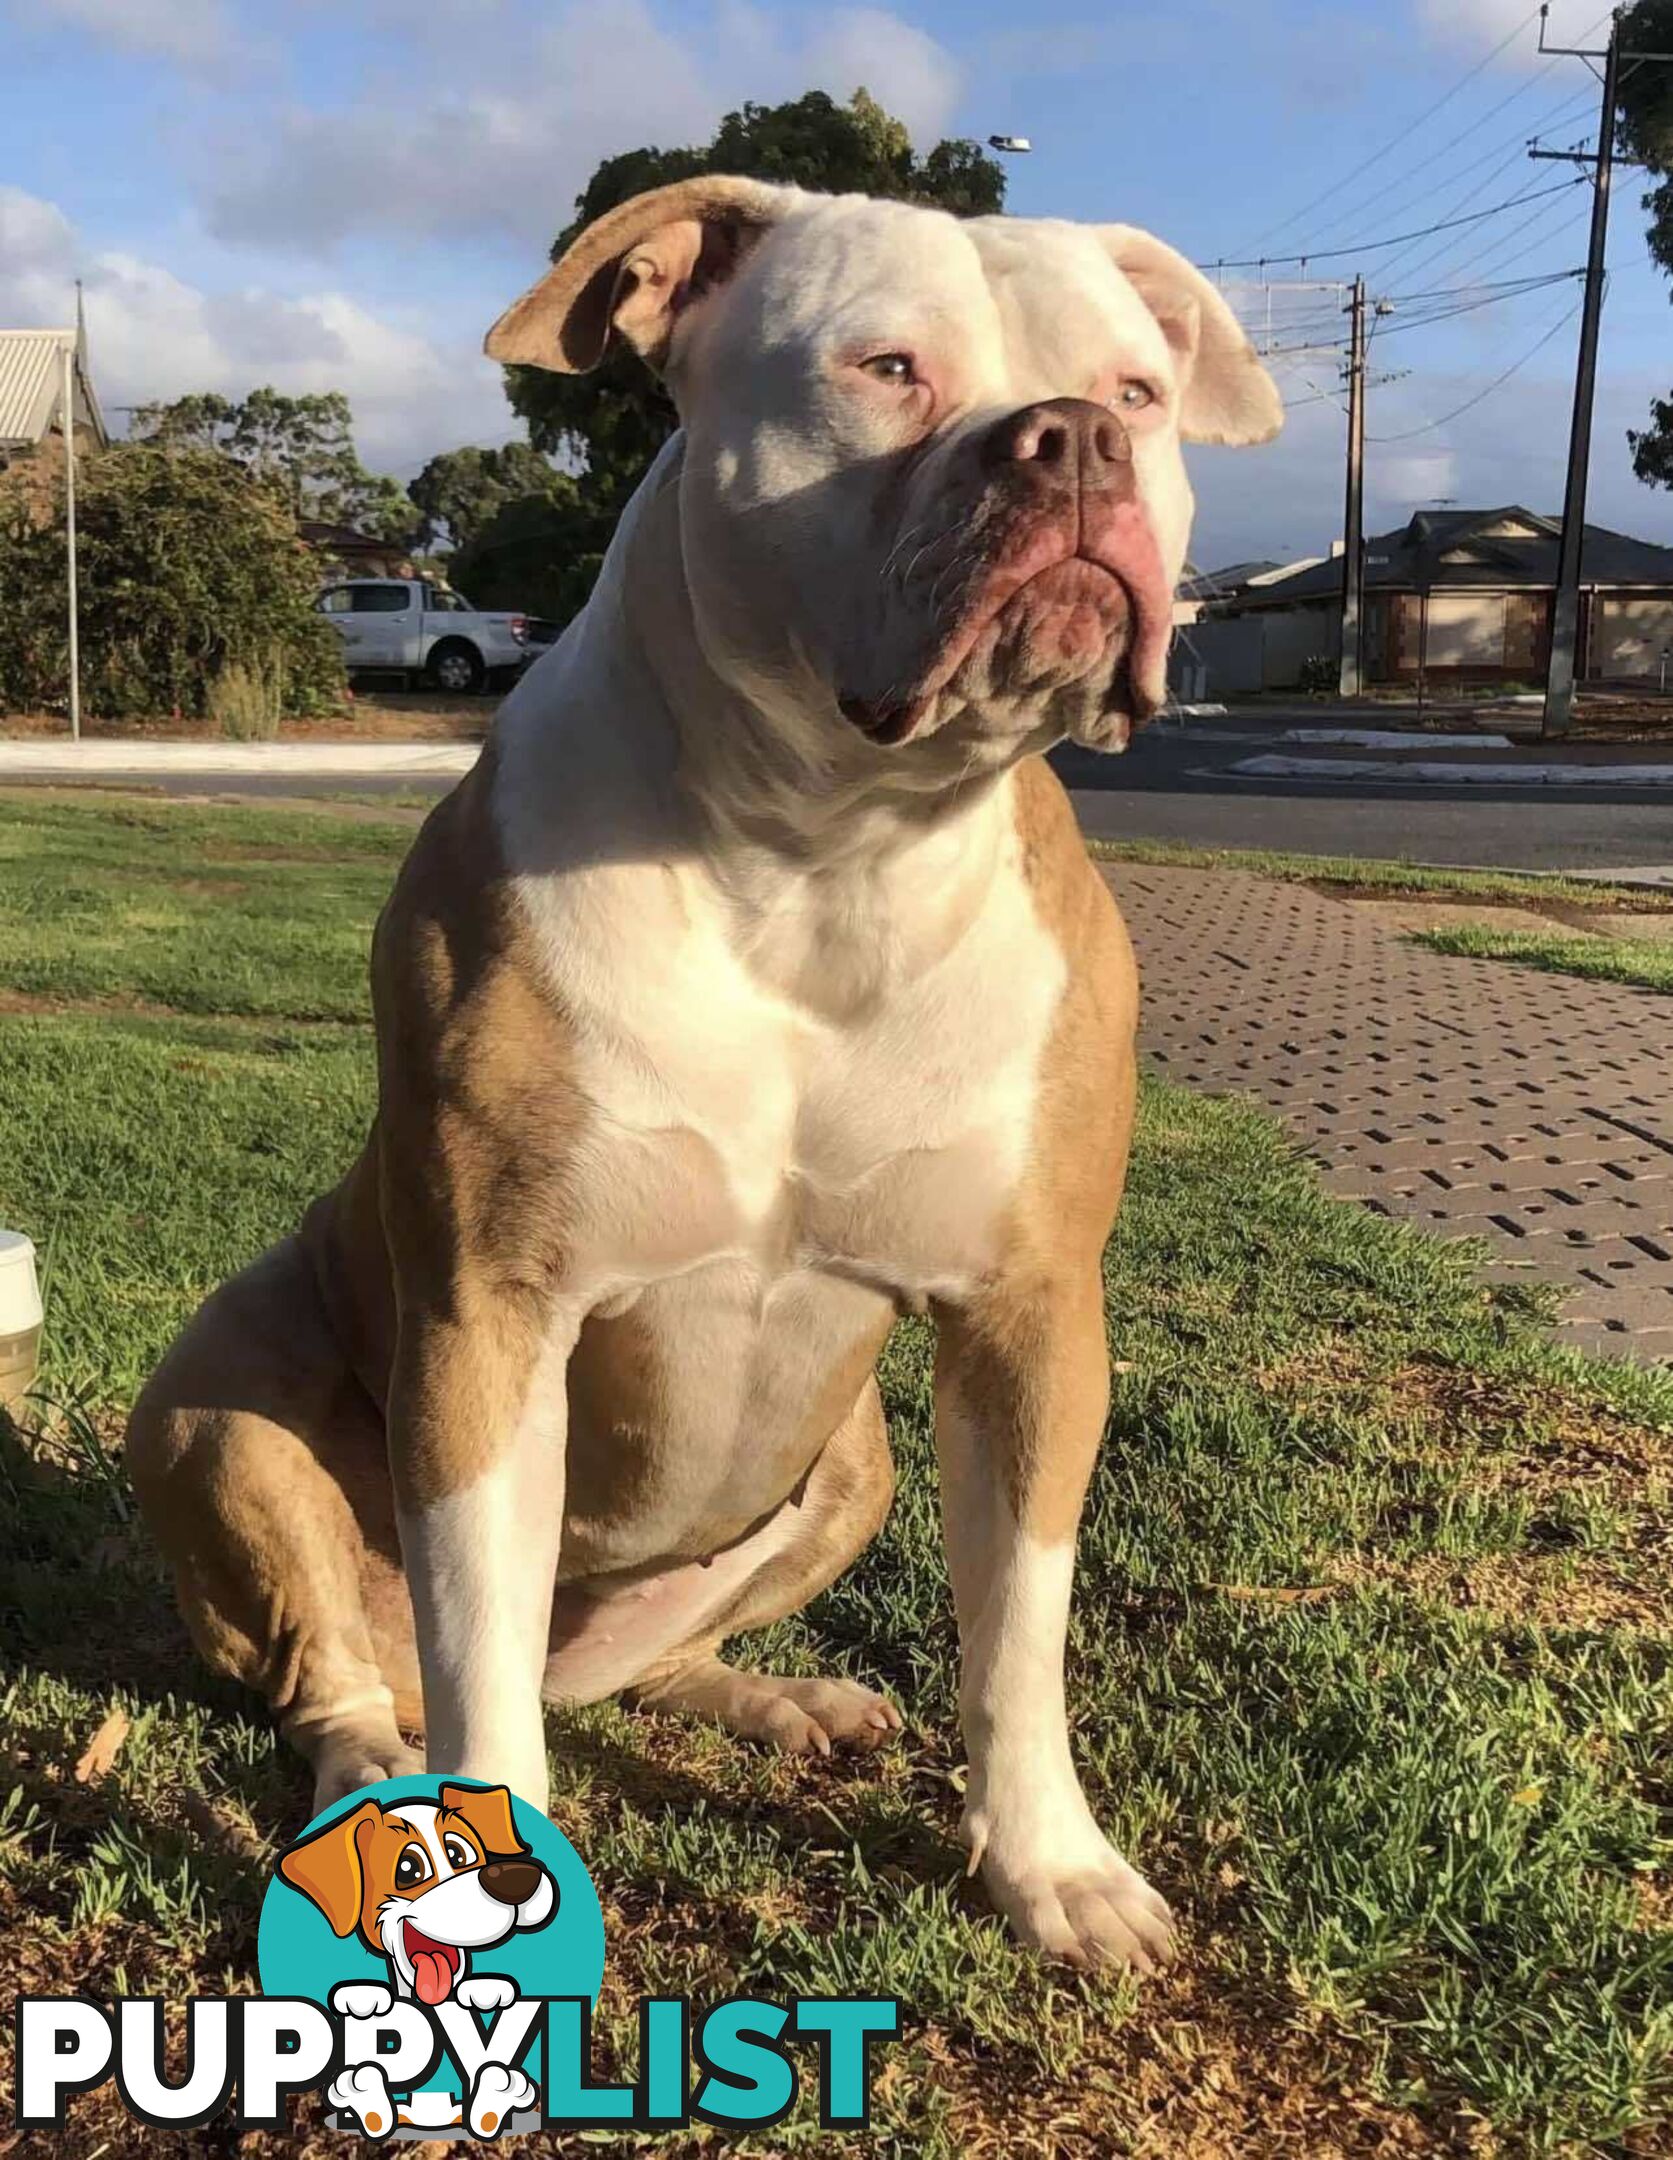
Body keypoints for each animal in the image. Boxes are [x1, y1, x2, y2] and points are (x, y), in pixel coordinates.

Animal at [130, 177, 1286, 1969]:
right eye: (885, 368)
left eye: (1138, 393)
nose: (1076, 439)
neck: (829, 856)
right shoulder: (489, 1317)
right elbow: (478, 1658)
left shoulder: (1032, 1318)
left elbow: (1018, 1627)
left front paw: (1050, 1866)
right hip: (218, 1406)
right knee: (360, 1669)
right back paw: (368, 1769)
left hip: (853, 1468)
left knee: (639, 1661)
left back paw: (774, 1700)